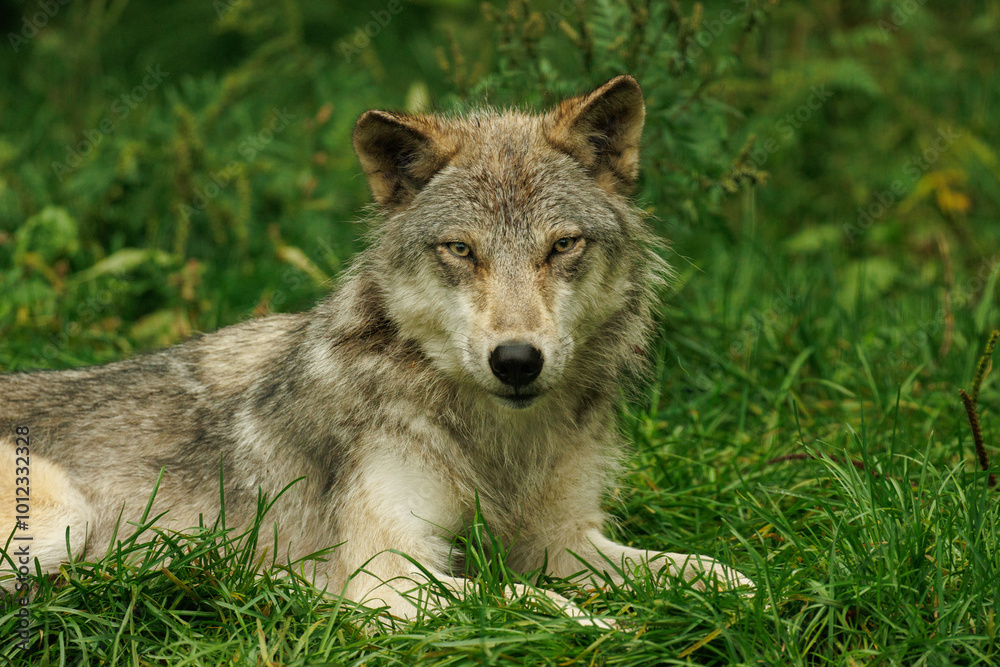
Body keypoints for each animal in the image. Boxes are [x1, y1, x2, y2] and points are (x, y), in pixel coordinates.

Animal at [0, 75, 752, 625]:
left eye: (562, 245)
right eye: (461, 249)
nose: (516, 360)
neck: (498, 444)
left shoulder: (563, 538)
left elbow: (705, 571)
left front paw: (754, 602)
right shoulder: (387, 573)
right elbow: (531, 602)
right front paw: (607, 627)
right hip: (64, 518)